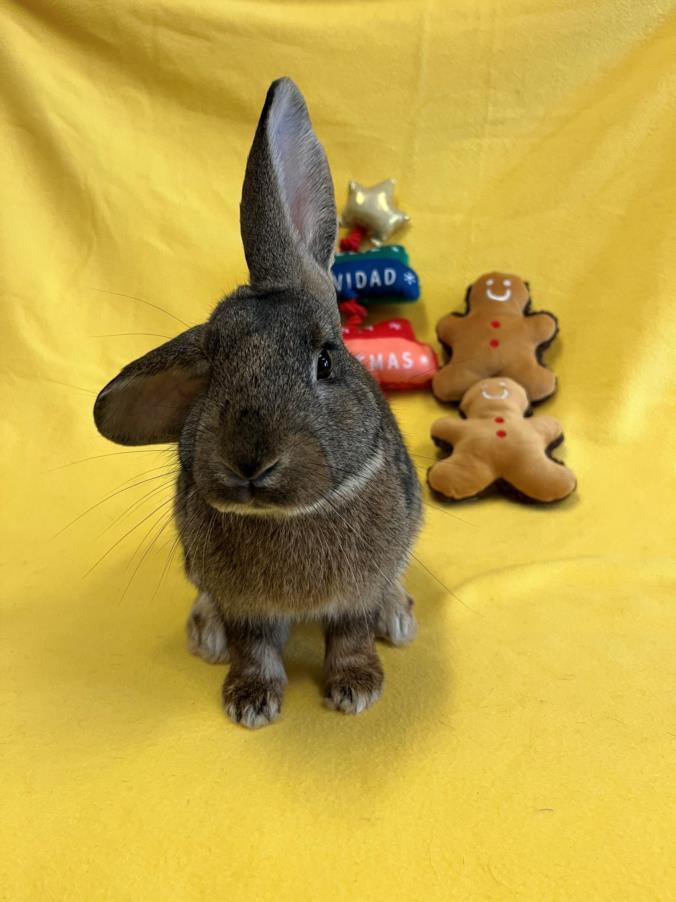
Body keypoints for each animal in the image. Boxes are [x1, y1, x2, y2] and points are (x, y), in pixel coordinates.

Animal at [93, 76, 422, 728]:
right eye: (213, 367)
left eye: (325, 362)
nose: (249, 460)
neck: (288, 516)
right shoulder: (244, 605)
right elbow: (253, 648)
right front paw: (249, 702)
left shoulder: (355, 595)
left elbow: (351, 635)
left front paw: (357, 690)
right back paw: (205, 634)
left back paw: (398, 616)